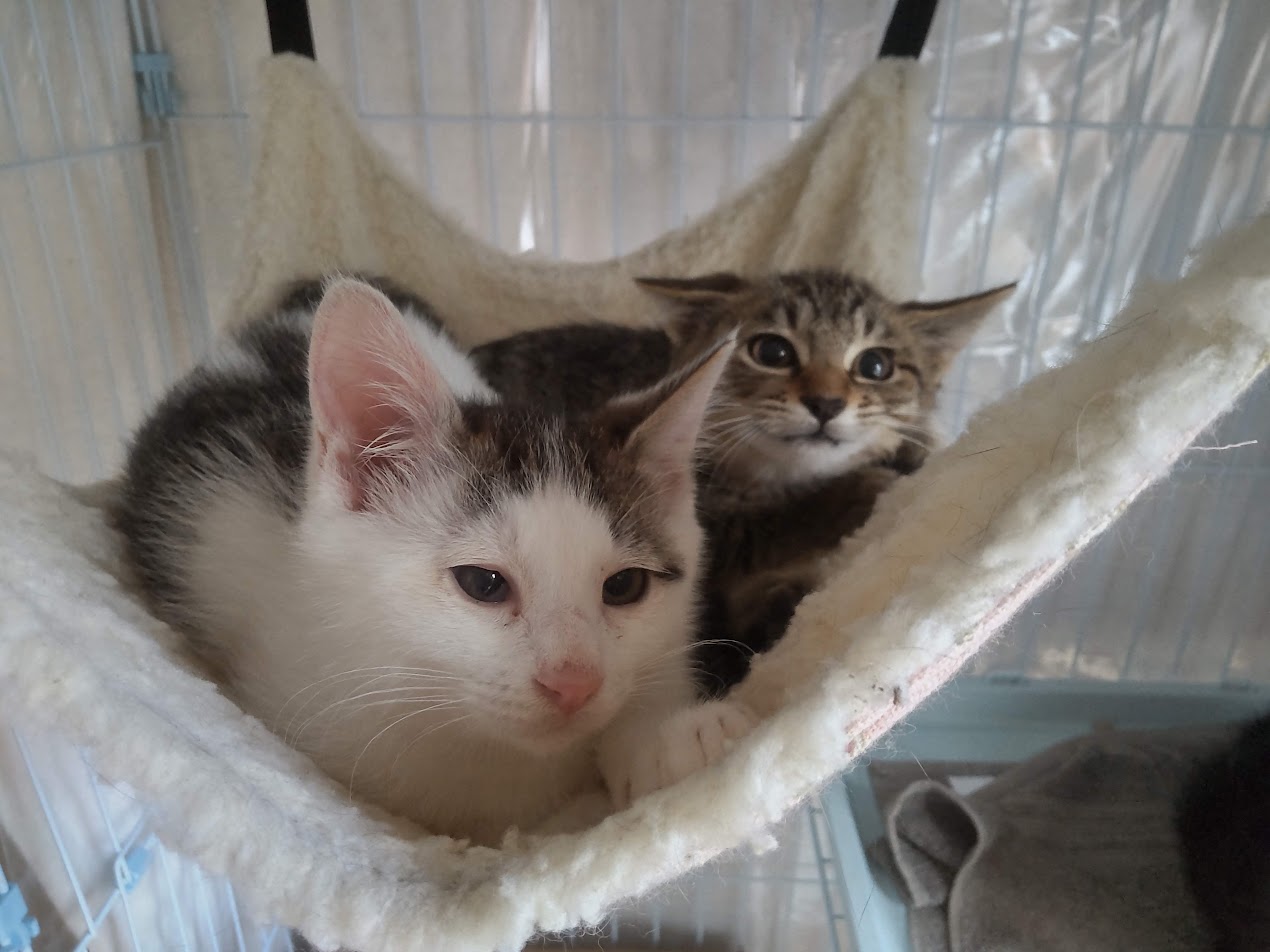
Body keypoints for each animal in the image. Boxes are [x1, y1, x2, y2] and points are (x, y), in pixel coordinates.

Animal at [472, 270, 1015, 694]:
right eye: (772, 350)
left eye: (875, 365)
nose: (826, 402)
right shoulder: (703, 527)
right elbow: (765, 531)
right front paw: (858, 488)